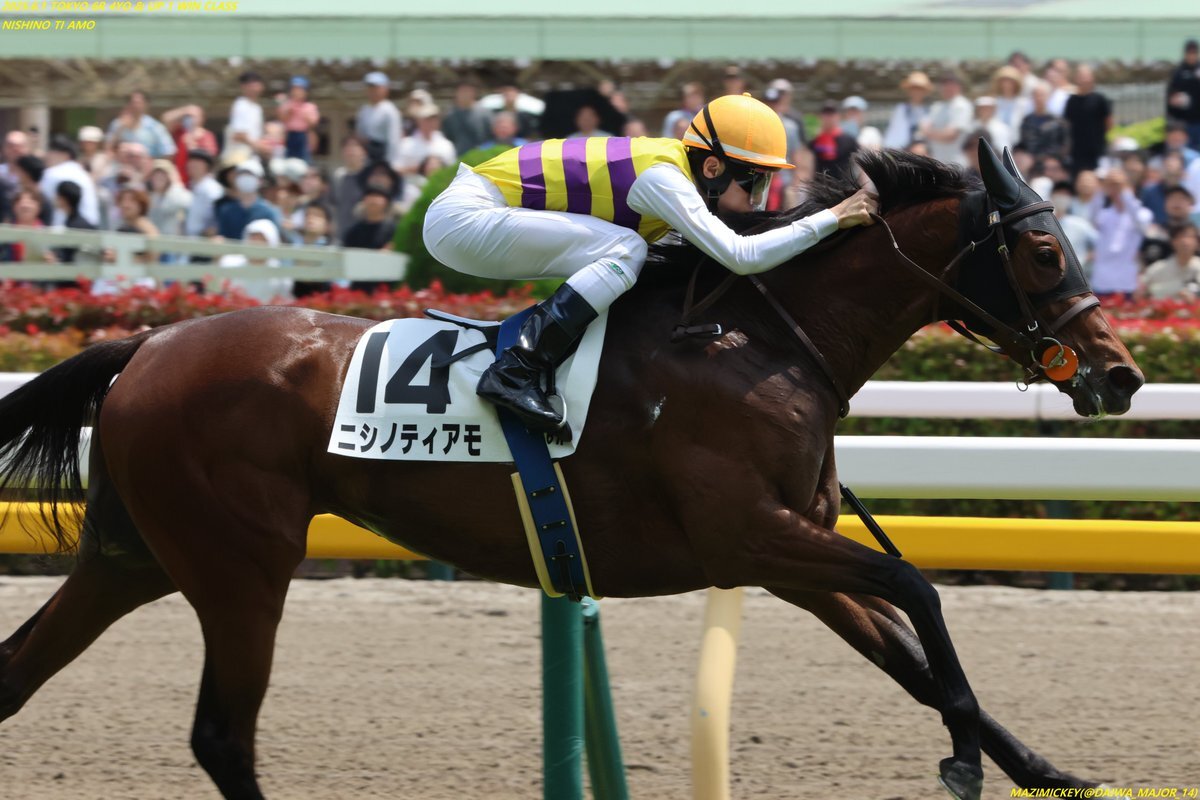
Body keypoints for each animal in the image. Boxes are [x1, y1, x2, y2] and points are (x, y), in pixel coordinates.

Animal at [0, 140, 1143, 800]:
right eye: (1046, 253)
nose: (1123, 375)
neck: (761, 340)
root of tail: (147, 344)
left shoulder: (790, 558)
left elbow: (908, 651)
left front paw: (1042, 767)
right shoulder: (752, 535)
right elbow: (919, 587)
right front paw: (963, 759)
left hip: (138, 553)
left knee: (21, 673)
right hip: (241, 567)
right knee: (223, 737)